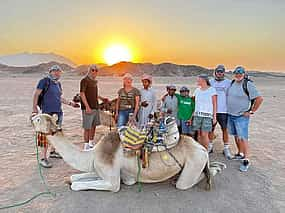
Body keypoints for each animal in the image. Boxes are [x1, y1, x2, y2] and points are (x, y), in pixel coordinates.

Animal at [30, 114, 224, 192]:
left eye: (39, 119)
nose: (31, 117)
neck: (92, 154)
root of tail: (202, 148)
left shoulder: (112, 181)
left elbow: (77, 185)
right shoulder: (98, 169)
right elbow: (73, 177)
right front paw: (69, 179)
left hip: (195, 162)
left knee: (188, 181)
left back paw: (214, 170)